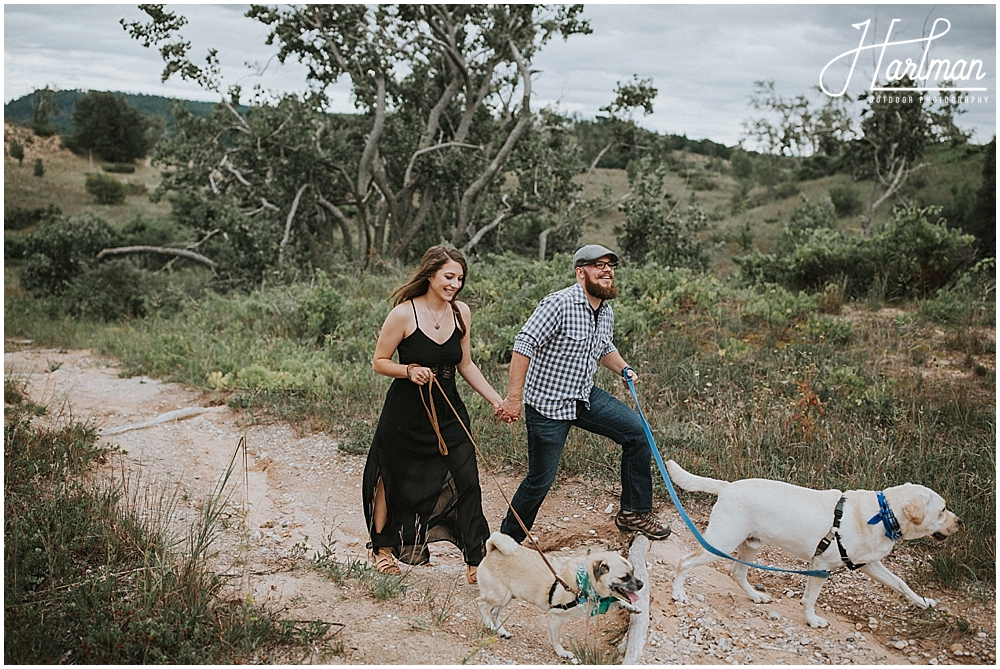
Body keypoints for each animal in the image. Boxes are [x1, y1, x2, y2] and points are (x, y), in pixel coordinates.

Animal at [474, 532, 640, 656]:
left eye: (633, 572)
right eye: (624, 577)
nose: (641, 584)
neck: (582, 580)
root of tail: (492, 550)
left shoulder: (595, 603)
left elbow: (615, 600)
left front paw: (631, 607)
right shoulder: (555, 617)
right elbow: (556, 639)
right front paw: (561, 653)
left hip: (506, 597)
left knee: (494, 612)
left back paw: (501, 631)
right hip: (499, 596)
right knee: (480, 603)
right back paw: (489, 624)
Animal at [668, 460, 956, 628]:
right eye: (943, 510)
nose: (961, 522)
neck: (883, 514)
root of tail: (727, 487)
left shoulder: (869, 564)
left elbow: (901, 584)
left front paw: (924, 603)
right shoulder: (821, 565)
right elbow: (809, 599)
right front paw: (813, 620)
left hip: (751, 544)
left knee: (737, 572)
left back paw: (755, 596)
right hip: (722, 542)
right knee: (685, 561)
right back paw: (678, 593)